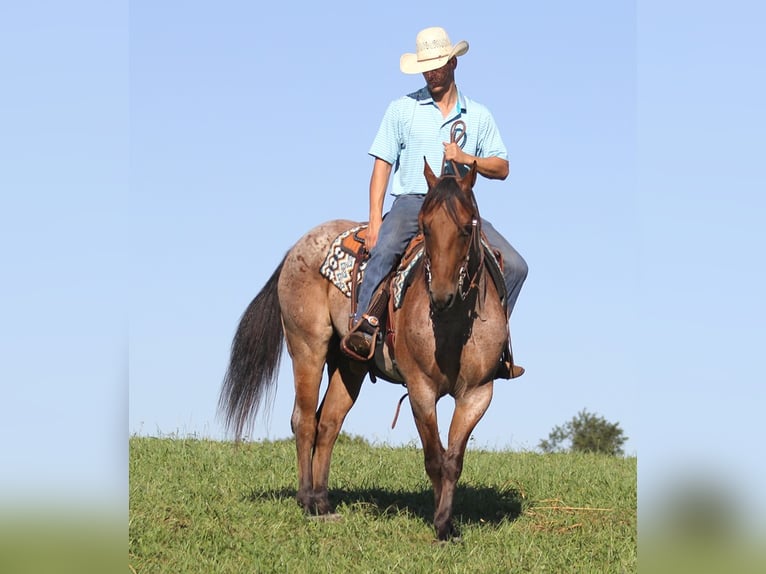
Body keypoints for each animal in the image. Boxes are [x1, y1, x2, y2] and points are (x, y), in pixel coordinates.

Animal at [219, 160, 512, 544]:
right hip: (307, 347)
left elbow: (453, 460)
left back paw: (323, 502)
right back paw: (307, 501)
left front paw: (447, 524)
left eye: (466, 228)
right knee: (304, 420)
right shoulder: (420, 390)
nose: (441, 294)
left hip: (348, 365)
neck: (453, 325)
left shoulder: (478, 394)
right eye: (424, 227)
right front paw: (439, 523)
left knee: (328, 423)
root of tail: (296, 249)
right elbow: (434, 457)